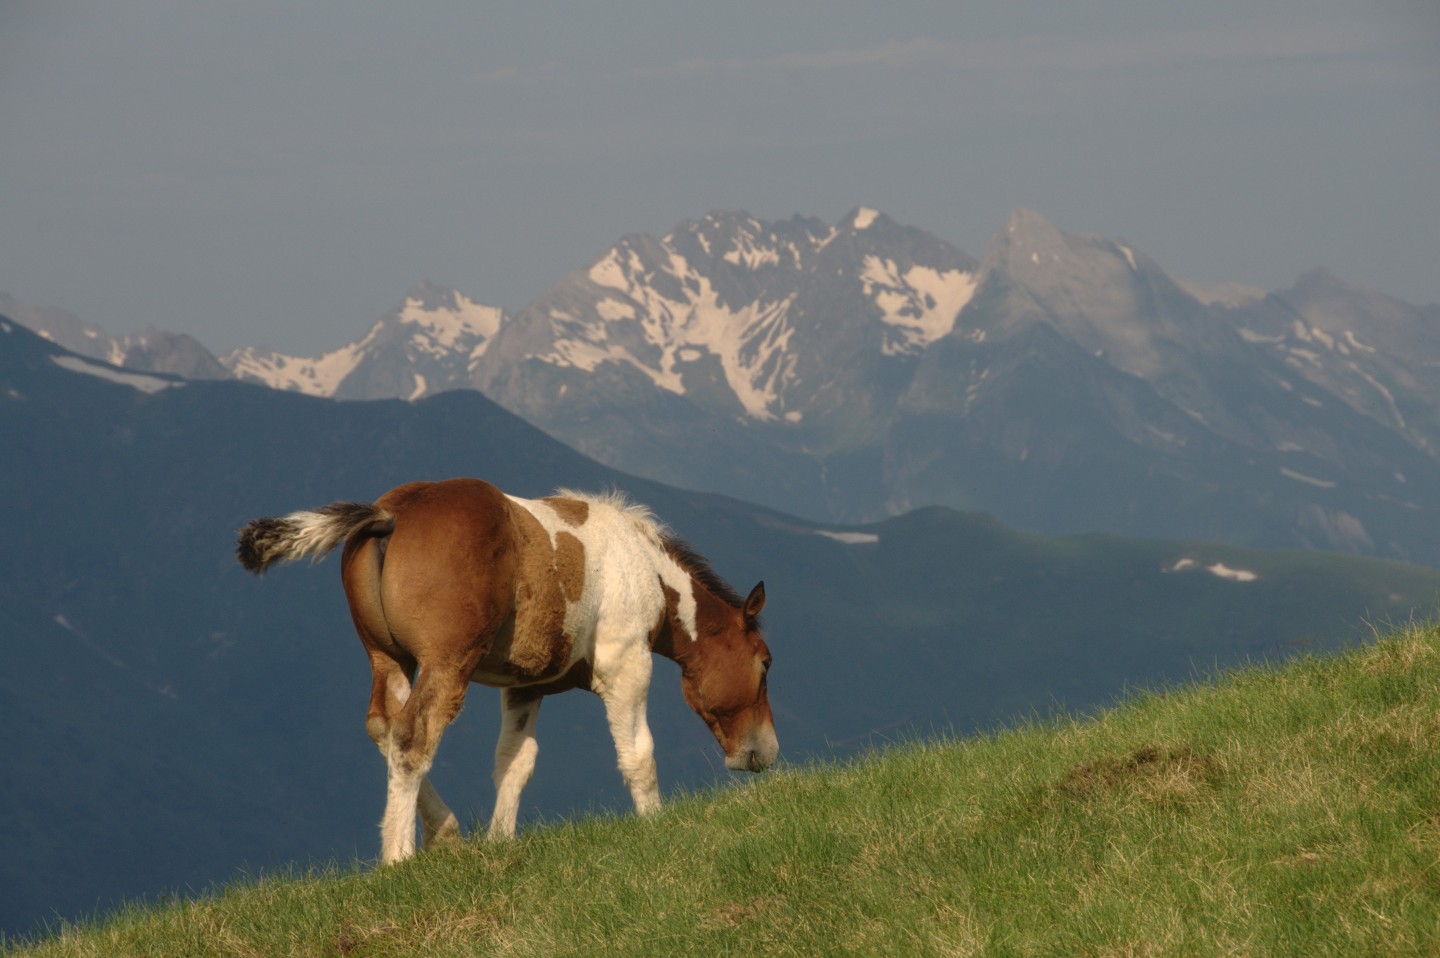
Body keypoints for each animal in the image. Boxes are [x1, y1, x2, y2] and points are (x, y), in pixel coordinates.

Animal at [233, 475, 777, 858]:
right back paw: (399, 856)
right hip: (444, 665)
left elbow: (514, 763)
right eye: (765, 663)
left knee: (384, 729)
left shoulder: (524, 686)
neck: (644, 566)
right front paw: (655, 825)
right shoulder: (627, 664)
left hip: (388, 660)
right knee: (413, 737)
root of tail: (390, 513)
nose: (765, 751)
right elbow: (638, 754)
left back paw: (445, 831)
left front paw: (499, 841)